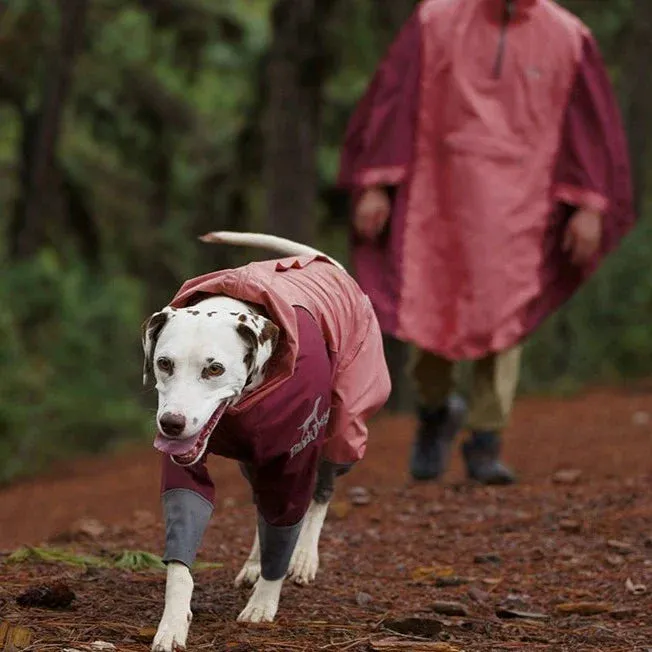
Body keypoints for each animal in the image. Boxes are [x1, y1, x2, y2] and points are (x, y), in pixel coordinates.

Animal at [143, 232, 390, 648]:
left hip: (345, 429)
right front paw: (174, 621)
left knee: (319, 494)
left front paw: (264, 600)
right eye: (164, 363)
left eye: (214, 368)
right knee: (263, 506)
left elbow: (289, 519)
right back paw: (255, 562)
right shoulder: (186, 467)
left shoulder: (295, 457)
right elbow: (184, 539)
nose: (171, 424)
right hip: (253, 462)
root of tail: (324, 263)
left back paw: (303, 558)